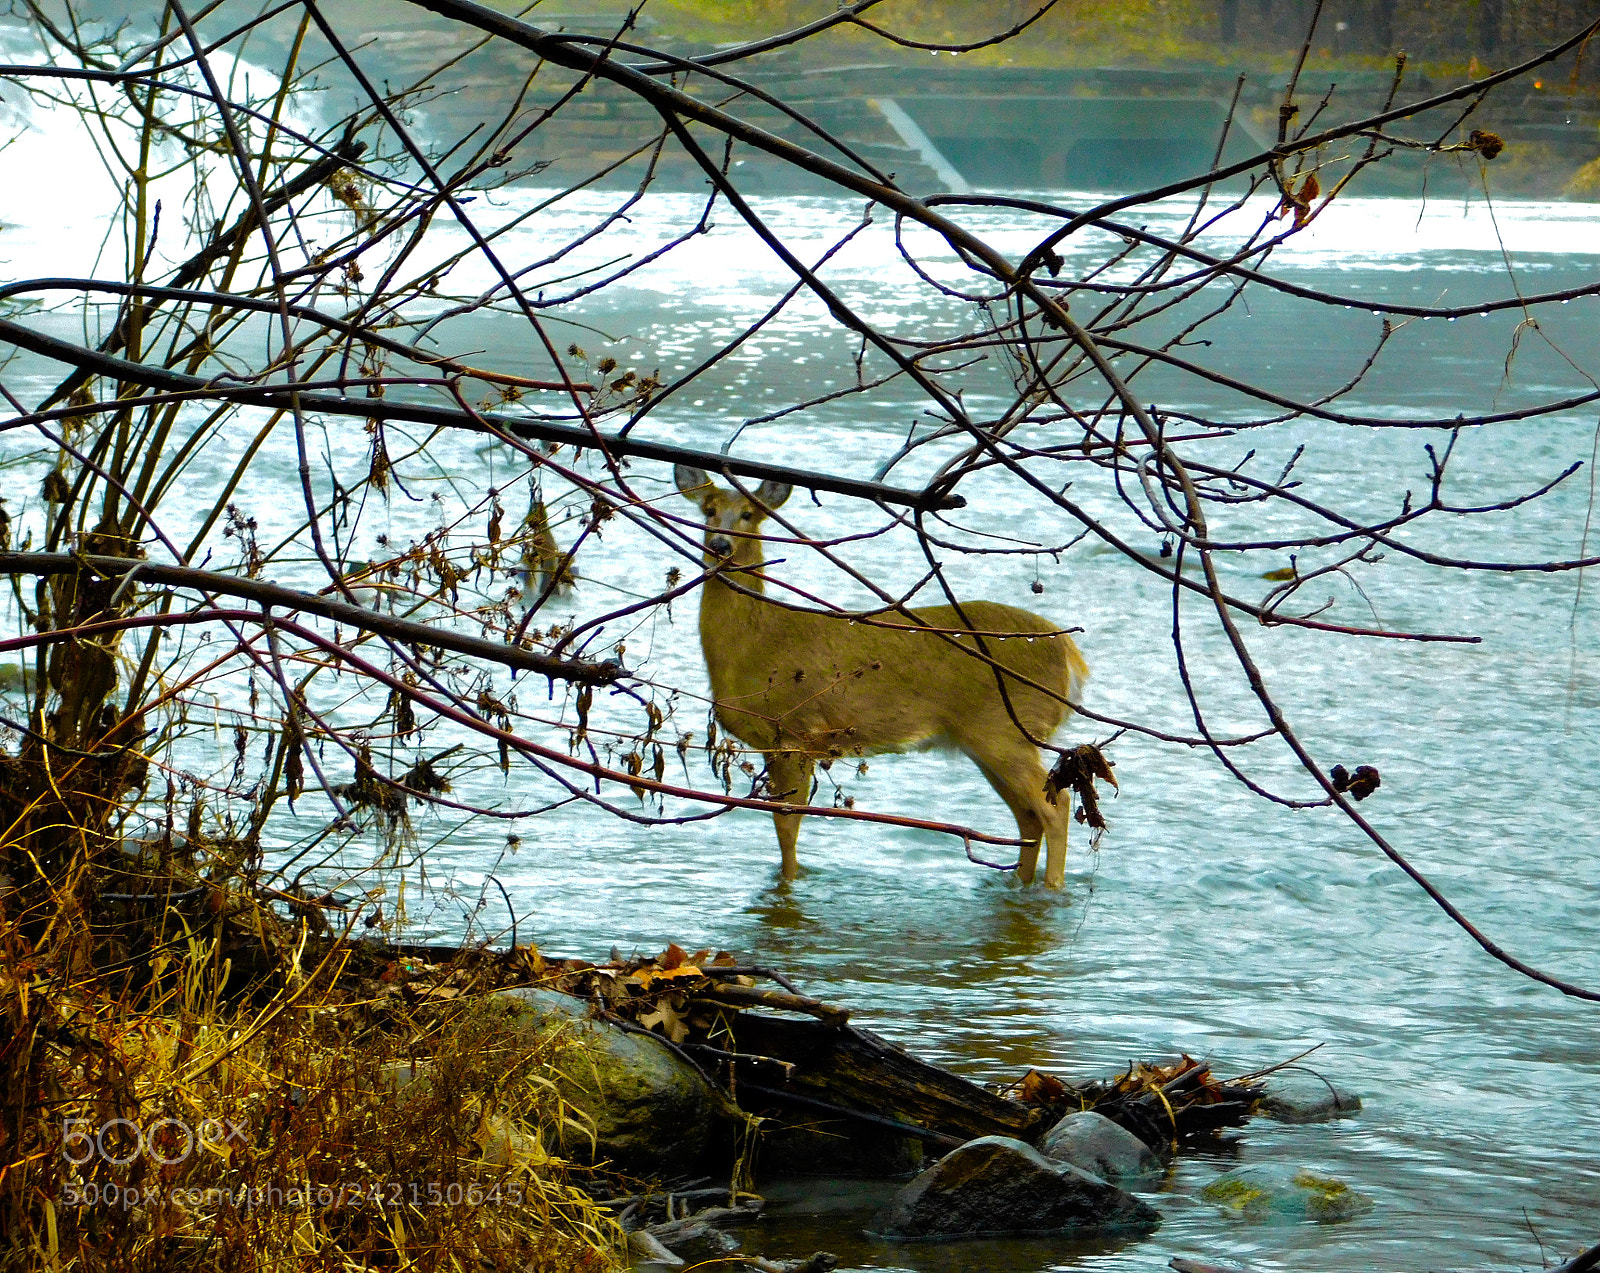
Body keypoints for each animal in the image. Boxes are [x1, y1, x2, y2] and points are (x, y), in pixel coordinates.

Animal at [674, 464, 1090, 887]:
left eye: (748, 515)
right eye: (708, 510)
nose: (721, 545)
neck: (757, 644)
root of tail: (1072, 658)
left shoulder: (794, 732)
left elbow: (787, 827)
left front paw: (790, 878)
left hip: (1006, 728)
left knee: (1054, 808)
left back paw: (1053, 886)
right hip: (987, 737)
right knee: (1027, 817)